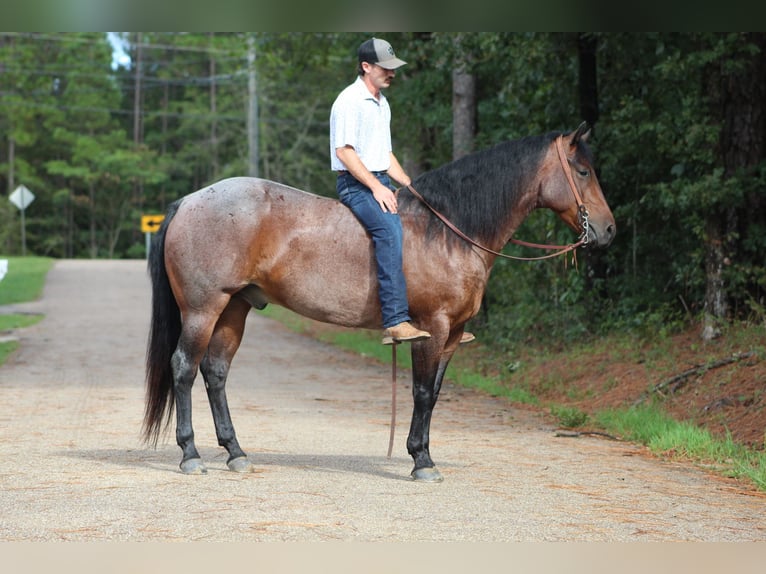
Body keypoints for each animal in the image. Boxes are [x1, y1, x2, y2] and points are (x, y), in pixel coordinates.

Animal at [141, 121, 616, 482]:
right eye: (582, 170)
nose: (608, 230)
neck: (447, 231)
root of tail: (189, 201)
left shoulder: (453, 335)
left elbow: (435, 393)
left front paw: (421, 452)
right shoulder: (433, 327)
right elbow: (421, 392)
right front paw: (422, 461)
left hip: (233, 309)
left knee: (216, 372)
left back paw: (236, 452)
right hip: (203, 310)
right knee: (184, 368)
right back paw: (191, 455)